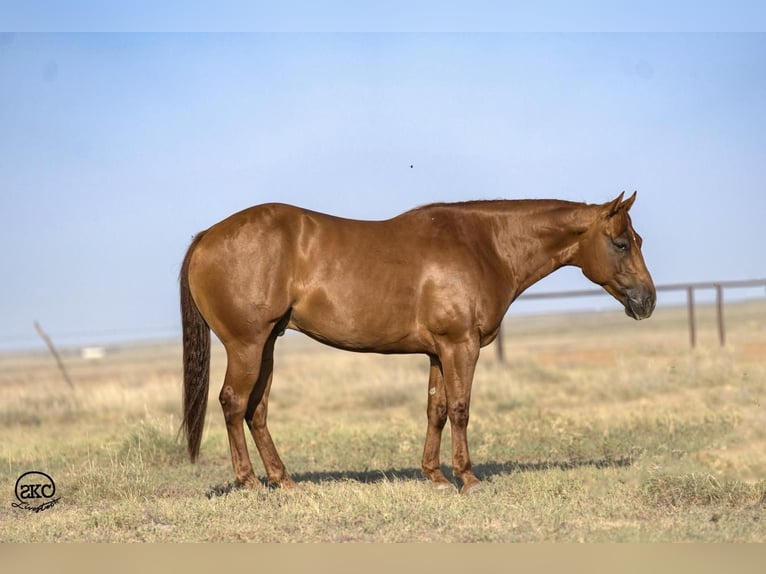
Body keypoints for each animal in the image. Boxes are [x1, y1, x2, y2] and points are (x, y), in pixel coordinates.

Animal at [178, 192, 656, 496]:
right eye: (620, 243)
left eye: (638, 240)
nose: (647, 301)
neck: (484, 246)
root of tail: (205, 236)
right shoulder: (461, 346)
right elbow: (461, 409)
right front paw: (468, 479)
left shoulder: (438, 352)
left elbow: (436, 410)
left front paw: (436, 477)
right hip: (247, 344)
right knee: (234, 402)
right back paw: (250, 483)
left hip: (268, 345)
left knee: (256, 410)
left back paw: (284, 481)